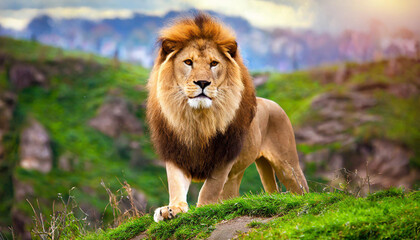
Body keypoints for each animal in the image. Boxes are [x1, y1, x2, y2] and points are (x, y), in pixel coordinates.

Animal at [147, 13, 308, 223]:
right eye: (188, 62)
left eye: (214, 63)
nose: (202, 82)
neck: (198, 120)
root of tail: (273, 103)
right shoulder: (176, 153)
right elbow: (176, 184)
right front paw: (171, 209)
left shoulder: (224, 156)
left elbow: (209, 189)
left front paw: (203, 209)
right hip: (248, 171)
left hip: (288, 164)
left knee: (302, 188)